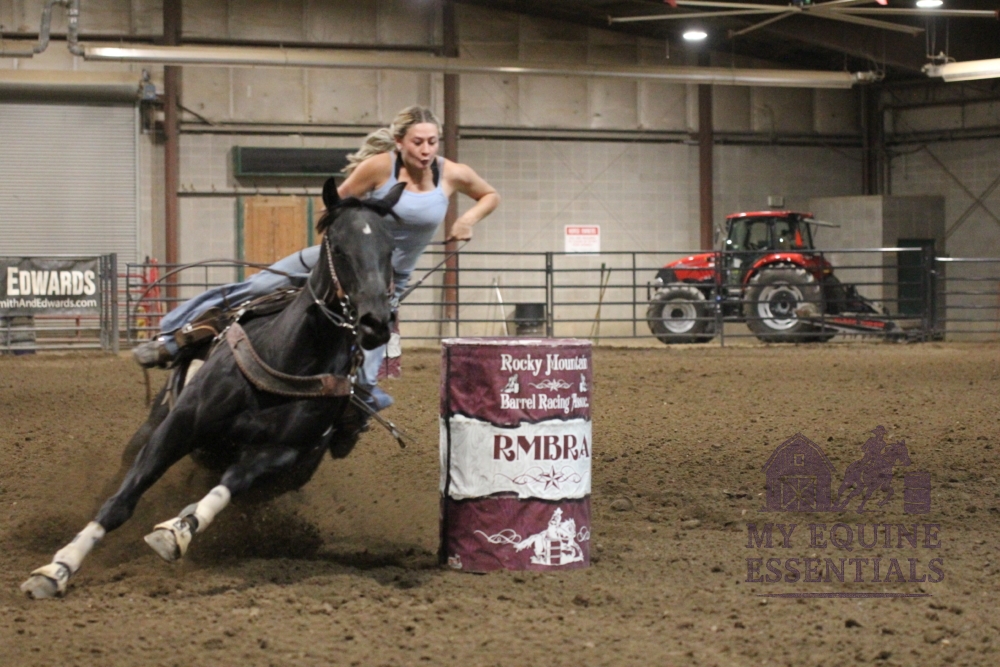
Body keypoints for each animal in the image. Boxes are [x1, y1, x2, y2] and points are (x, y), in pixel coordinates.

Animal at [20, 178, 403, 599]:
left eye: (390, 248)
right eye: (337, 246)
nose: (375, 323)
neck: (285, 355)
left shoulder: (277, 455)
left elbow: (228, 485)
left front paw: (176, 530)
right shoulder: (180, 425)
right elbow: (122, 499)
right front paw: (57, 567)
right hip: (152, 423)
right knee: (128, 465)